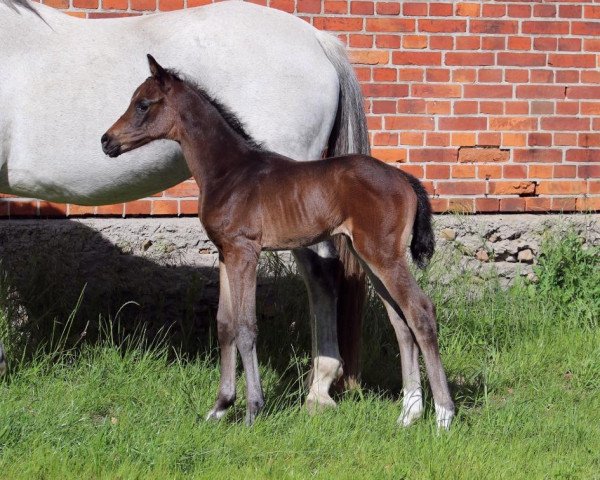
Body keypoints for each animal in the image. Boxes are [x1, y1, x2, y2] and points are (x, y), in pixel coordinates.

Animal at [102, 54, 454, 430]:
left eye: (142, 104)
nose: (106, 141)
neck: (229, 172)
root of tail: (404, 178)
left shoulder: (245, 251)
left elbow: (245, 326)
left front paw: (253, 409)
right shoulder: (226, 253)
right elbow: (224, 324)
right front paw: (220, 407)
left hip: (382, 255)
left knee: (420, 311)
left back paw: (443, 415)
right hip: (369, 257)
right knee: (401, 321)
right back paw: (409, 413)